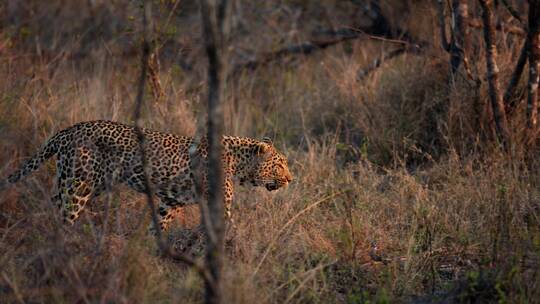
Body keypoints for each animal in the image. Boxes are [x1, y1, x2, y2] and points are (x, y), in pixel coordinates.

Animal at [2, 120, 294, 230]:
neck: (239, 163)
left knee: (52, 206)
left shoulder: (171, 202)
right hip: (80, 186)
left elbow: (159, 226)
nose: (291, 180)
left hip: (72, 180)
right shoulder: (220, 206)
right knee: (65, 217)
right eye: (279, 166)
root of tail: (68, 129)